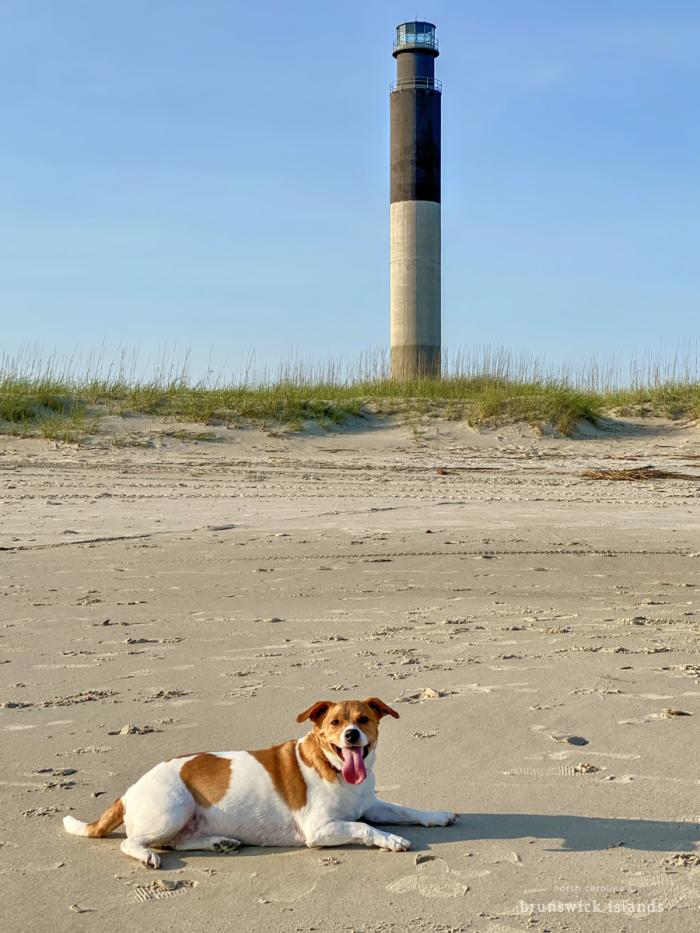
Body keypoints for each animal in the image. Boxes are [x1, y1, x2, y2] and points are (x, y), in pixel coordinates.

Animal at [63, 692, 456, 868]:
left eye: (363, 719)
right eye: (335, 723)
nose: (352, 735)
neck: (332, 768)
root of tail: (130, 791)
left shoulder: (371, 804)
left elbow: (404, 809)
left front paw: (436, 816)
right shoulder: (320, 829)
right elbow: (365, 828)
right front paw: (392, 840)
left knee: (175, 843)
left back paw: (219, 843)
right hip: (173, 809)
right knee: (136, 842)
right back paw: (146, 855)